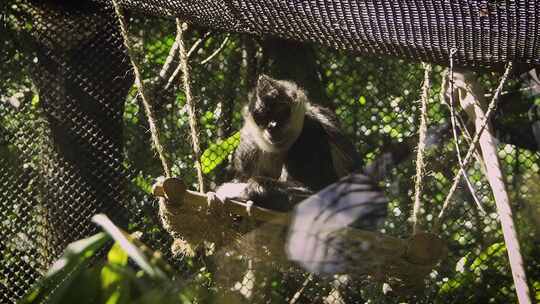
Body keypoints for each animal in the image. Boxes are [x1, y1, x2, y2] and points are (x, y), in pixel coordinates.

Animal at [208, 73, 362, 211]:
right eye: (262, 117)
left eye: (280, 112)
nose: (272, 126)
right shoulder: (248, 141)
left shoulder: (310, 130)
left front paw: (246, 191)